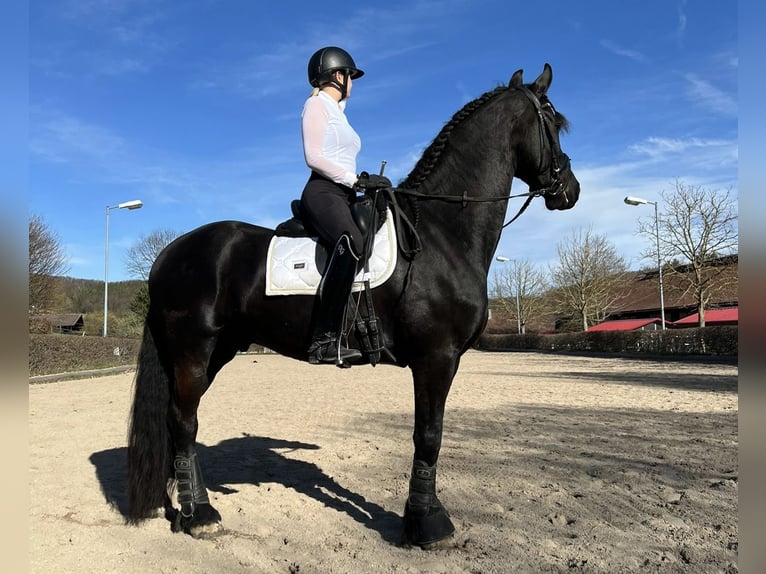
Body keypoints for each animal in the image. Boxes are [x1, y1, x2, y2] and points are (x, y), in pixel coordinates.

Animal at [127, 64, 584, 548]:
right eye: (554, 122)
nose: (570, 190)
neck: (442, 233)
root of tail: (168, 254)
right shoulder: (436, 357)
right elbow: (429, 435)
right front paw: (426, 523)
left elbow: (428, 435)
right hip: (193, 349)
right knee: (184, 423)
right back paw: (198, 515)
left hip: (217, 350)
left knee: (182, 420)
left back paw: (194, 510)